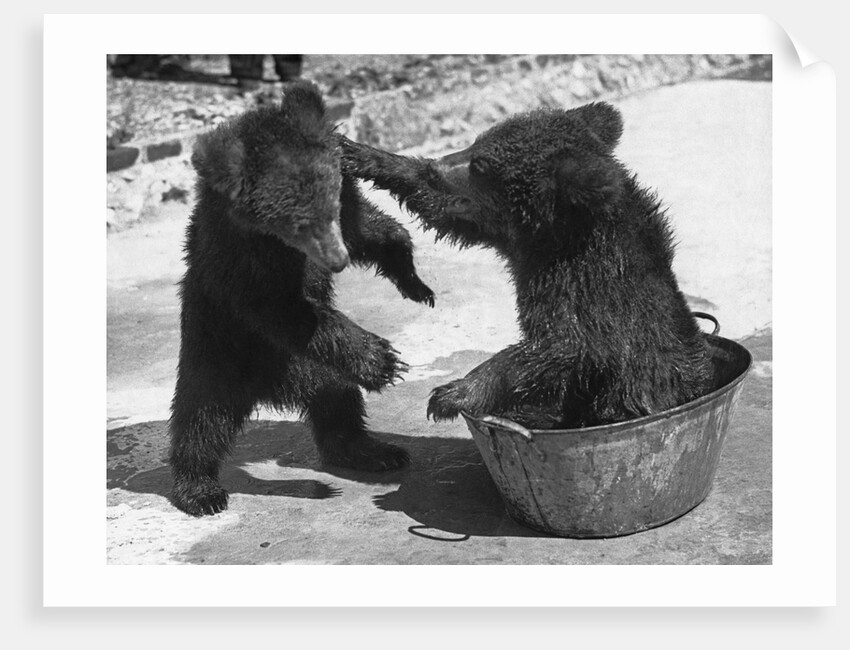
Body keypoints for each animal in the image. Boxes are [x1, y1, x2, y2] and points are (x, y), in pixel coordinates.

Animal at [170, 81, 434, 516]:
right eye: (296, 222)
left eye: (330, 204)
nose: (338, 262)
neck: (276, 245)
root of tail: (269, 391)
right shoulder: (240, 260)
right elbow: (282, 308)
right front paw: (384, 359)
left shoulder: (346, 218)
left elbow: (374, 230)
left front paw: (416, 284)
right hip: (218, 359)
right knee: (201, 422)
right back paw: (199, 489)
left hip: (315, 368)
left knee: (338, 400)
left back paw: (374, 451)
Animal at [340, 101, 715, 429]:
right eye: (476, 142)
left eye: (480, 164)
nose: (440, 165)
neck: (553, 238)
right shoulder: (512, 239)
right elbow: (439, 207)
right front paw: (359, 153)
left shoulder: (585, 289)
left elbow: (561, 347)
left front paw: (451, 394)